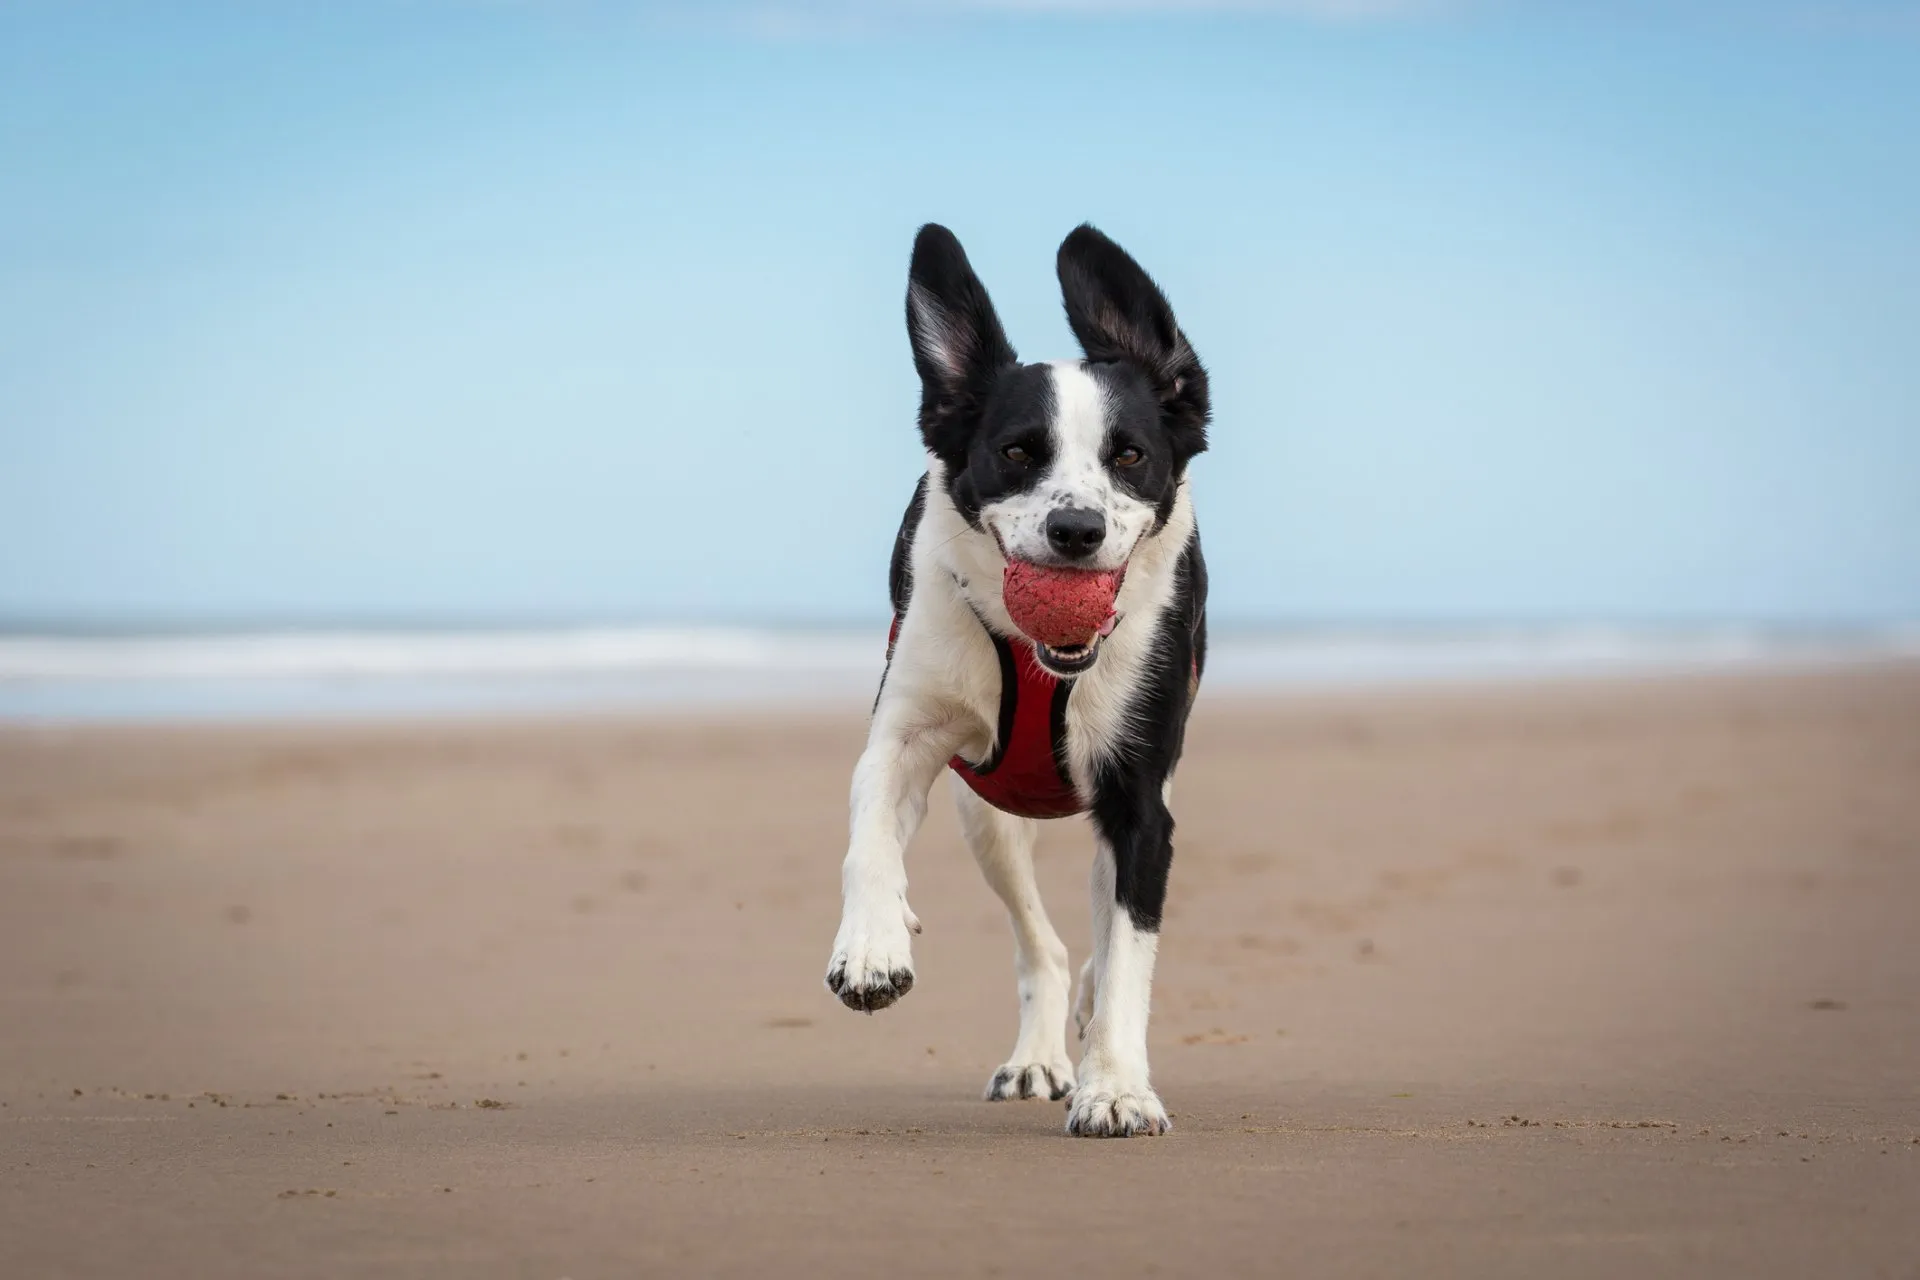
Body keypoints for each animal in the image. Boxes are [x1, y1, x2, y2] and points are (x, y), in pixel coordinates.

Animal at [821, 222, 1205, 1143]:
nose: (1076, 529)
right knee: (1046, 946)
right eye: (1017, 453)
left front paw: (1117, 1089)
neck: (1041, 659)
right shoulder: (907, 730)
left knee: (1096, 936)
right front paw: (873, 947)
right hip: (987, 815)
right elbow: (870, 831)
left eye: (1130, 456)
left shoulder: (1141, 798)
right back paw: (1036, 1058)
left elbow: (1131, 953)